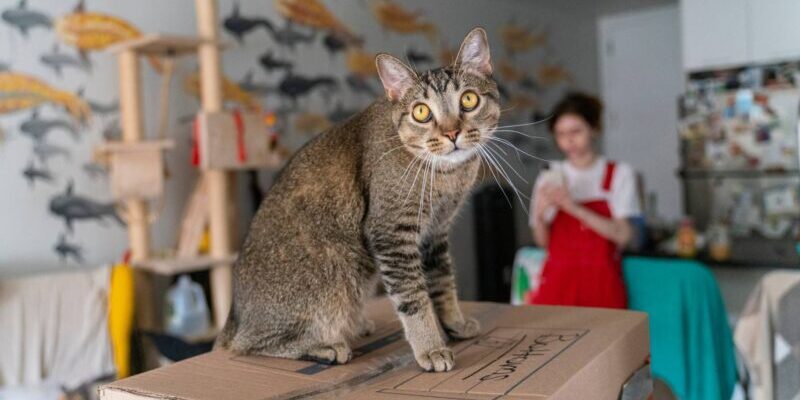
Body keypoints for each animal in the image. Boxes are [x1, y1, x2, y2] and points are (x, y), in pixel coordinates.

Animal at [214, 27, 500, 372]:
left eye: (469, 100)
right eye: (421, 112)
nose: (451, 133)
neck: (447, 175)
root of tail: (234, 316)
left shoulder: (435, 233)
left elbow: (443, 282)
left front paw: (454, 324)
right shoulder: (390, 233)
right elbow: (414, 298)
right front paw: (431, 347)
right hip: (338, 273)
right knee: (249, 344)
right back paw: (324, 346)